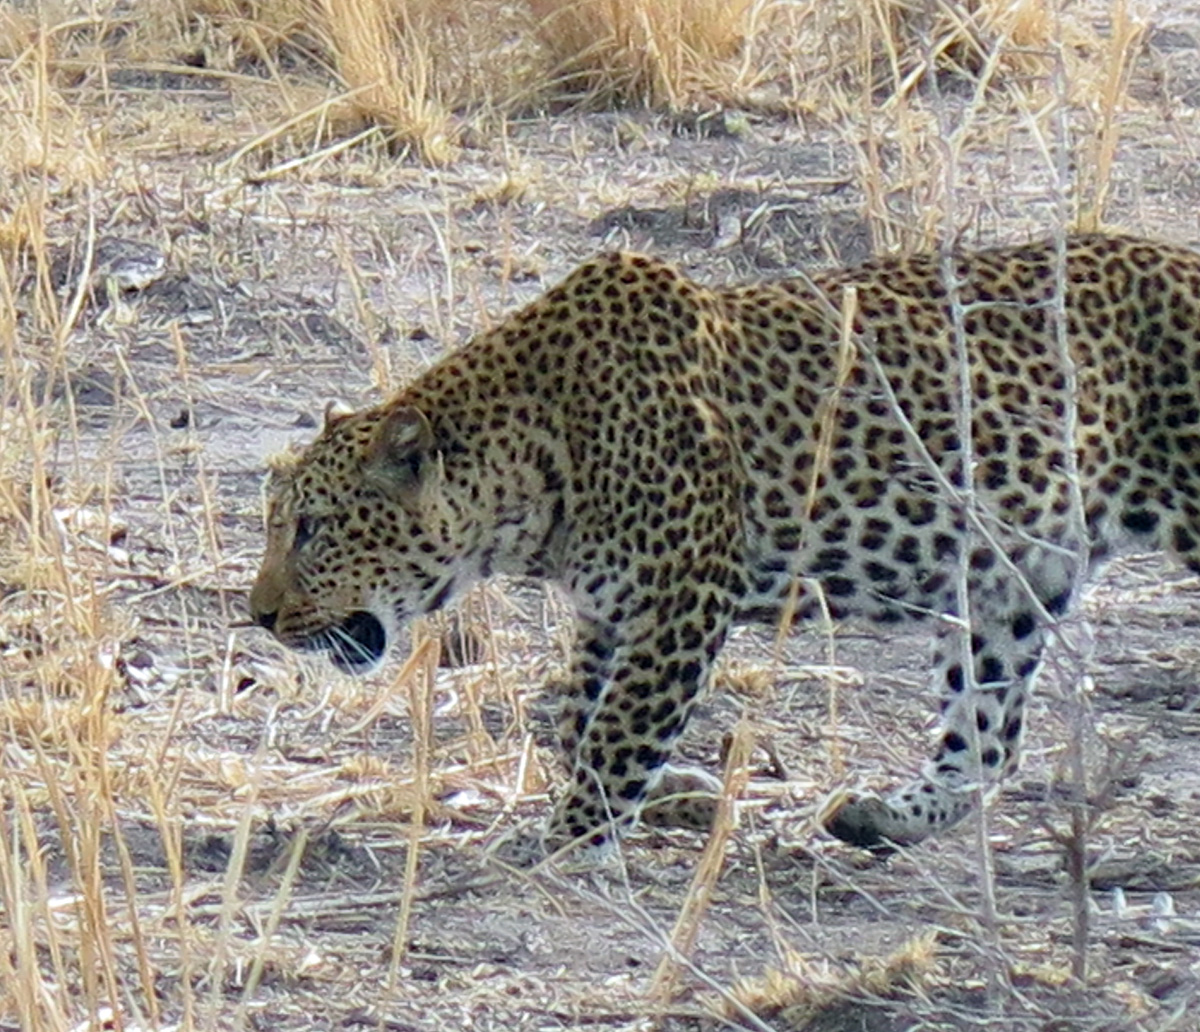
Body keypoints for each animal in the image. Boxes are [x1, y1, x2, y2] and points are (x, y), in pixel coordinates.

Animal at [249, 232, 1200, 854]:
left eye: (313, 528)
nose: (258, 616)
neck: (537, 457)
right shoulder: (607, 609)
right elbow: (573, 715)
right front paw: (675, 796)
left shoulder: (682, 601)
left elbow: (619, 730)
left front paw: (562, 841)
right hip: (1010, 586)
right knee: (989, 741)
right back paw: (884, 816)